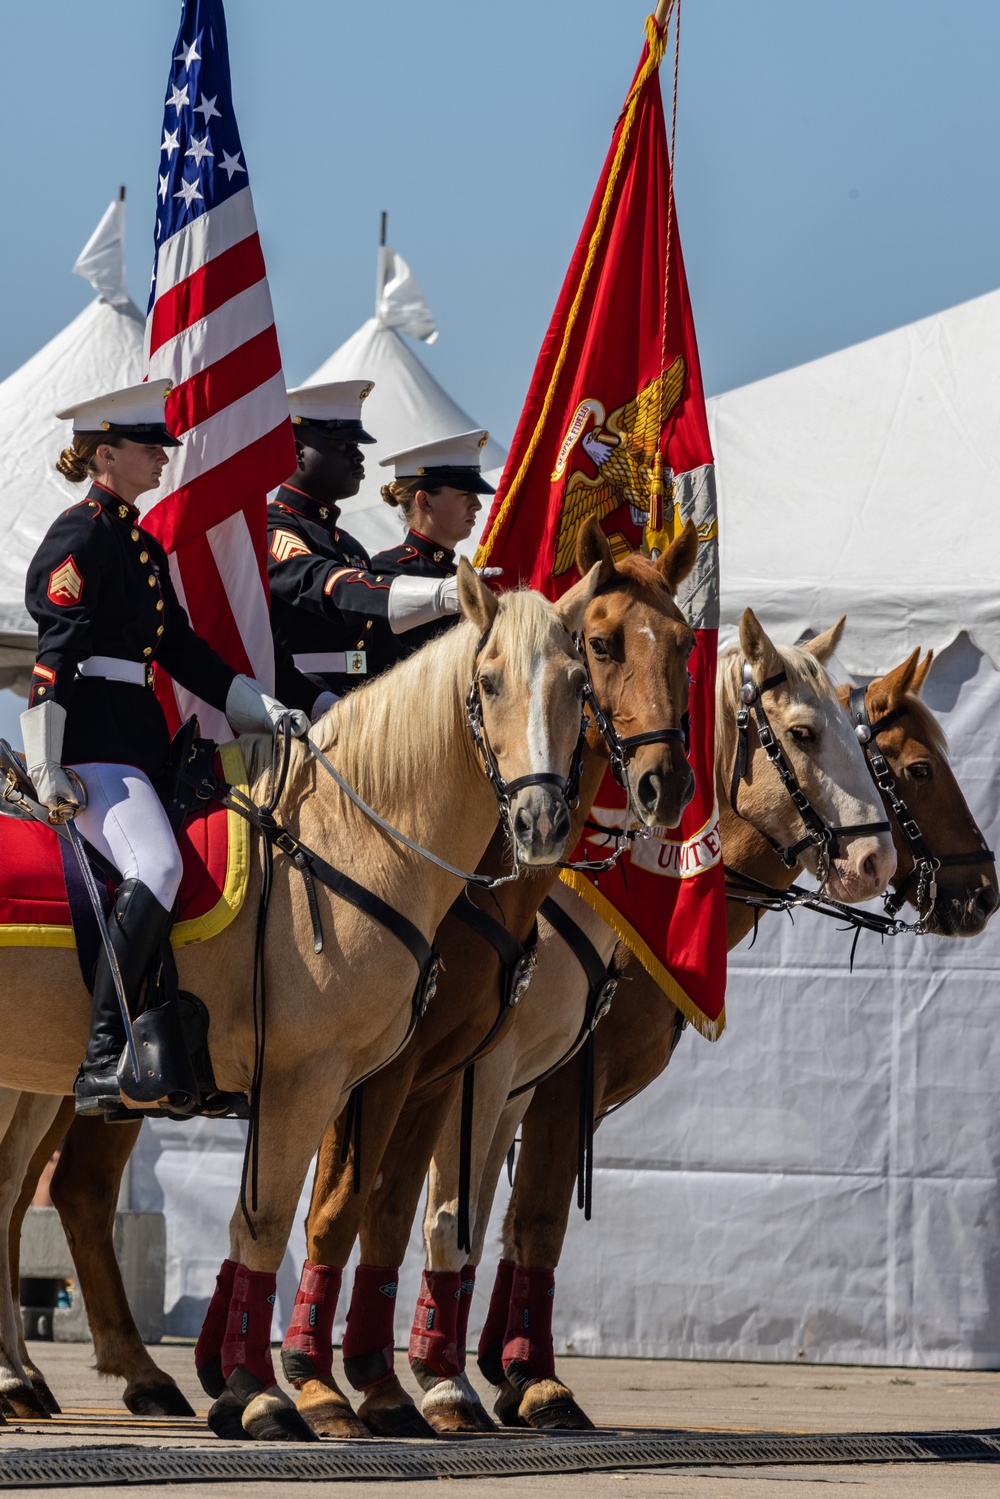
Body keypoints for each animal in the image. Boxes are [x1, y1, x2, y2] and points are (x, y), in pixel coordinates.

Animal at [464, 641, 1000, 1427]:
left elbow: (517, 1217)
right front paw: (534, 1377)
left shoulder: (553, 1095)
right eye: (920, 769)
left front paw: (504, 1367)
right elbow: (536, 1216)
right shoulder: (558, 1084)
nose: (985, 892)